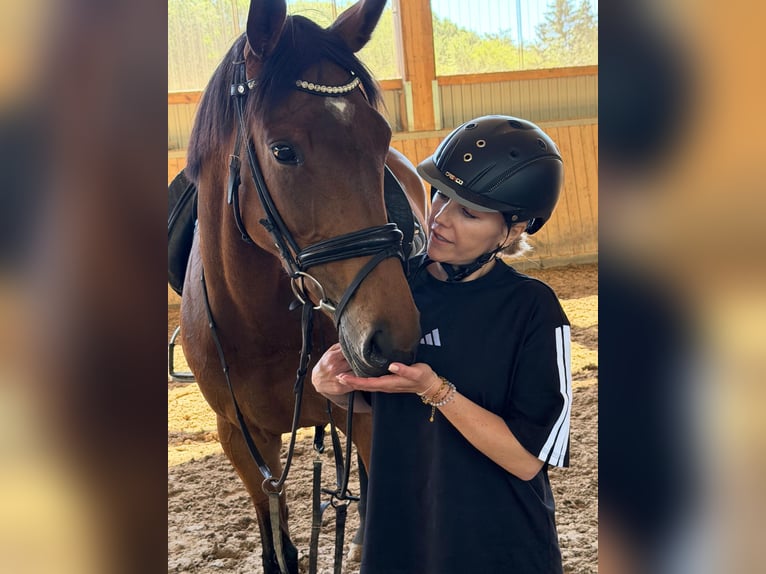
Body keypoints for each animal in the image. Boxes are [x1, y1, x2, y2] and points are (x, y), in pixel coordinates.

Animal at [179, 1, 427, 572]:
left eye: (381, 139)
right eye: (283, 150)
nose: (392, 339)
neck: (258, 324)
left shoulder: (367, 420)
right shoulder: (242, 441)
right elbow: (279, 547)